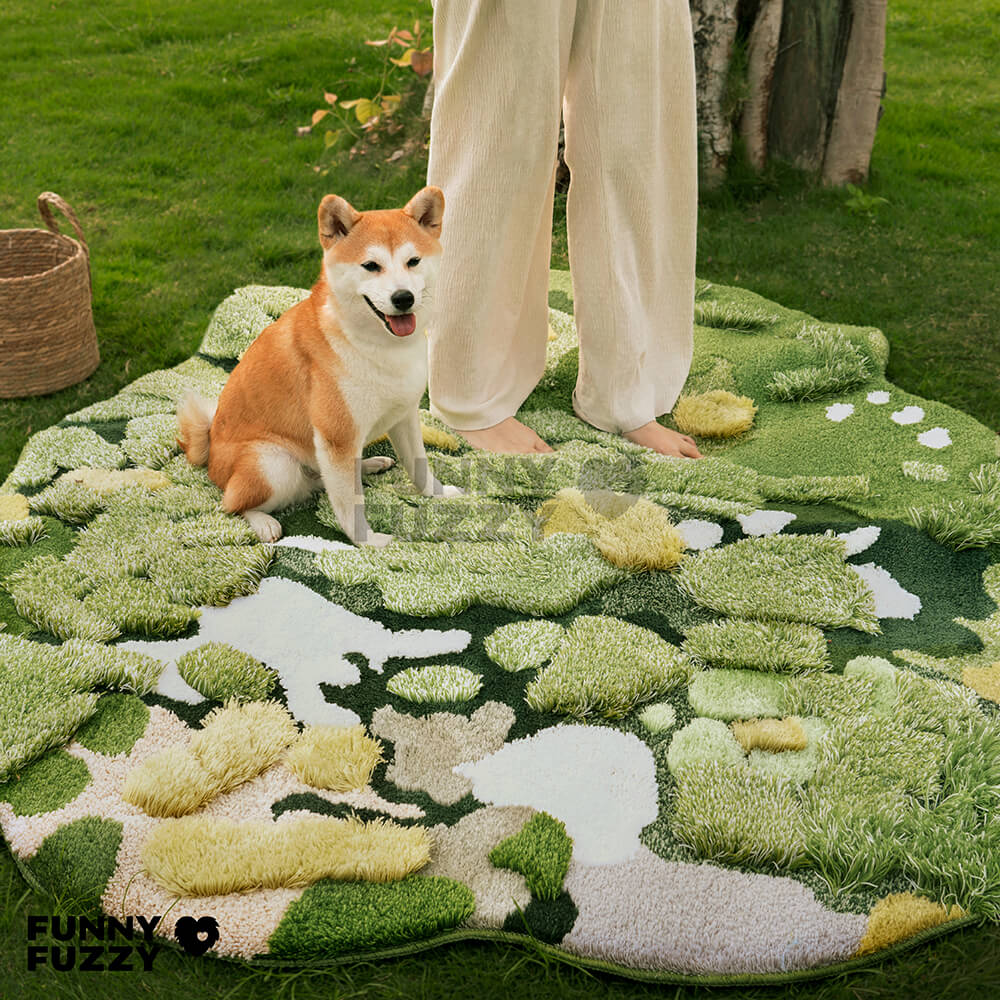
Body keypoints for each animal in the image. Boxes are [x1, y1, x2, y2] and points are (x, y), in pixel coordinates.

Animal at [178, 188, 458, 548]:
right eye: (371, 266)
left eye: (413, 261)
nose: (403, 297)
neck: (376, 347)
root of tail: (209, 455)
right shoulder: (336, 438)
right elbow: (350, 504)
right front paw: (367, 542)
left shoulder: (404, 416)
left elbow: (420, 468)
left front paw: (440, 494)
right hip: (274, 465)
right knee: (232, 504)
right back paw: (263, 522)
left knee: (324, 480)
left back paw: (370, 464)